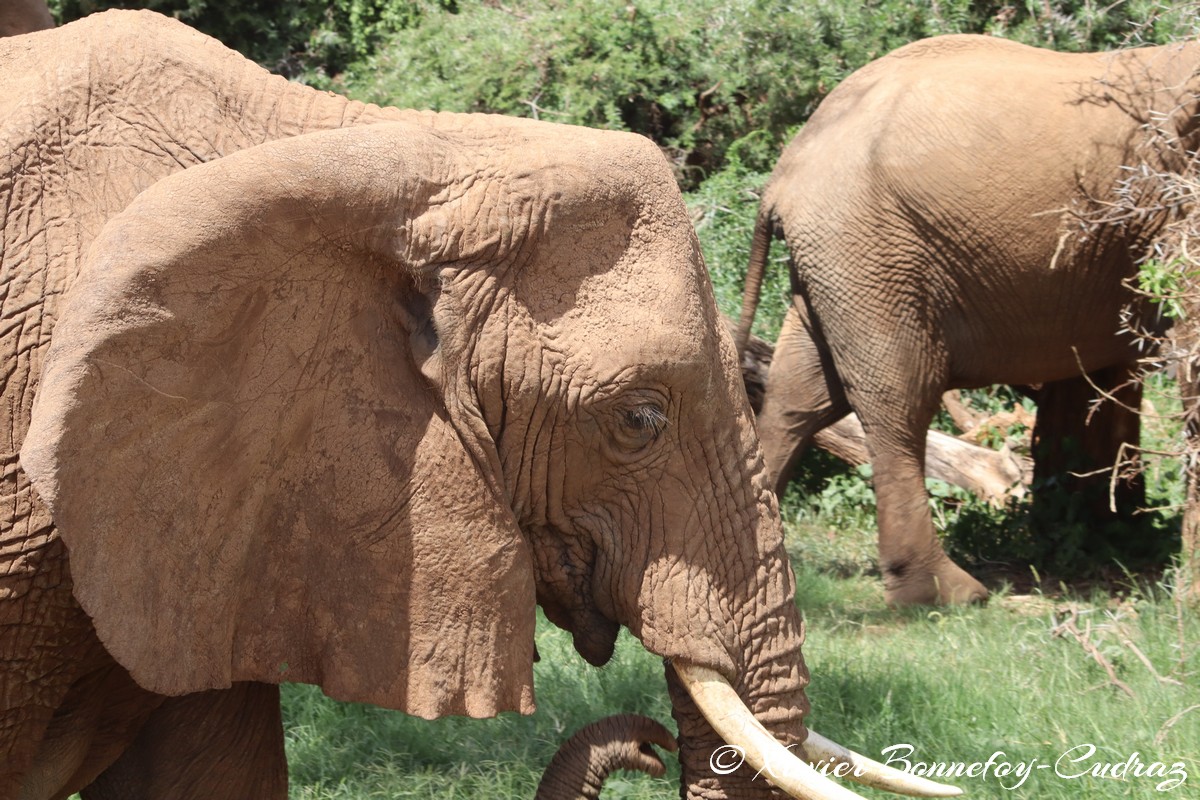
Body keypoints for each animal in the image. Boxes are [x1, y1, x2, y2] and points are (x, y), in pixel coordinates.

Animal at [729, 32, 1200, 606]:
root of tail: (786, 167)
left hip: (836, 261)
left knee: (800, 396)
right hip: (870, 251)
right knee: (900, 400)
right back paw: (948, 594)